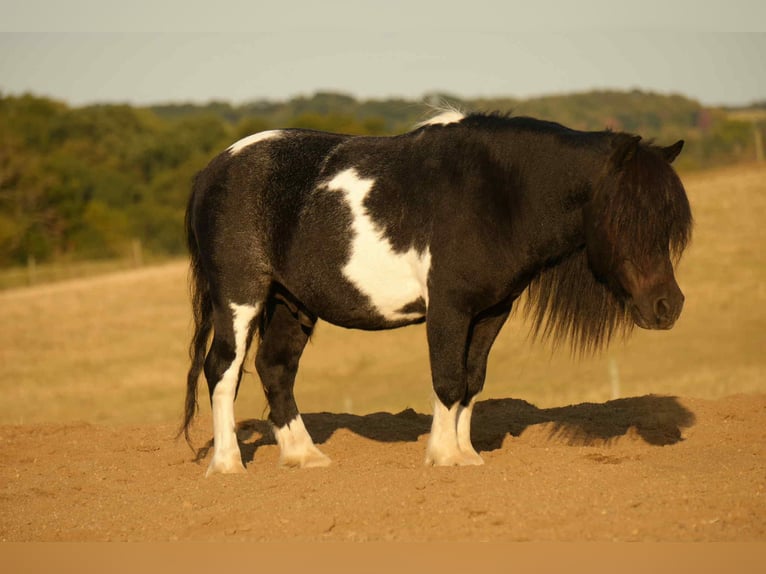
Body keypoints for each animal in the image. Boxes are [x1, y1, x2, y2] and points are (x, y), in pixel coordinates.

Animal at [181, 110, 693, 476]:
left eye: (667, 221)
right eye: (625, 215)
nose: (667, 306)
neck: (498, 195)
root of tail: (212, 170)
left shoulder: (491, 311)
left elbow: (471, 380)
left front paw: (467, 455)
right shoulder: (449, 308)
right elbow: (447, 379)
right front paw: (444, 456)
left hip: (292, 303)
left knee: (276, 368)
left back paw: (303, 457)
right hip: (241, 297)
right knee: (222, 370)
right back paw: (227, 465)